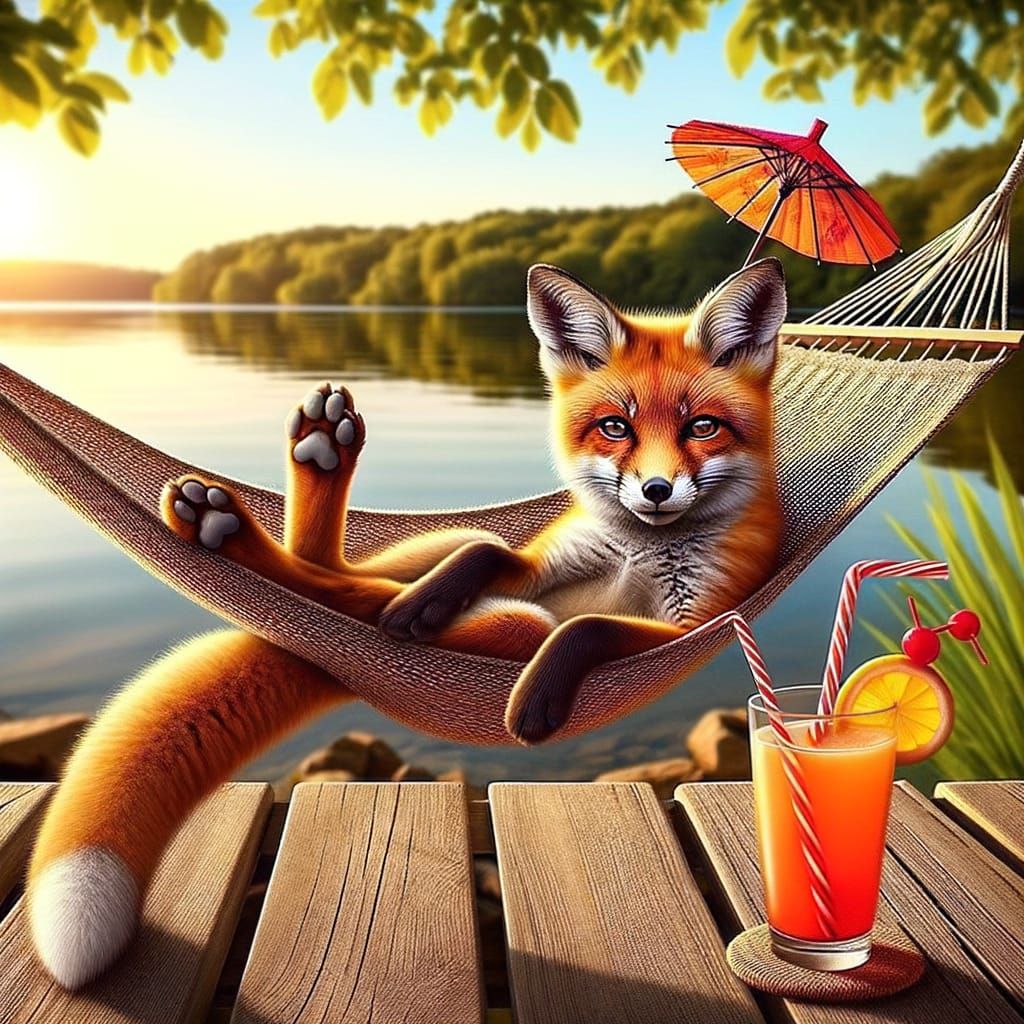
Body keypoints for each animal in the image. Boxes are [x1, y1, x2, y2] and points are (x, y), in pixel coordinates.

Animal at [26, 258, 786, 989]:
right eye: (614, 427)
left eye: (702, 427)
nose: (655, 491)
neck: (639, 548)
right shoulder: (543, 563)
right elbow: (484, 555)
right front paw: (425, 602)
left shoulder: (697, 618)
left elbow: (586, 628)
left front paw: (534, 696)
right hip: (449, 552)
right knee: (338, 570)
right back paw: (286, 504)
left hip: (514, 624)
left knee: (364, 593)